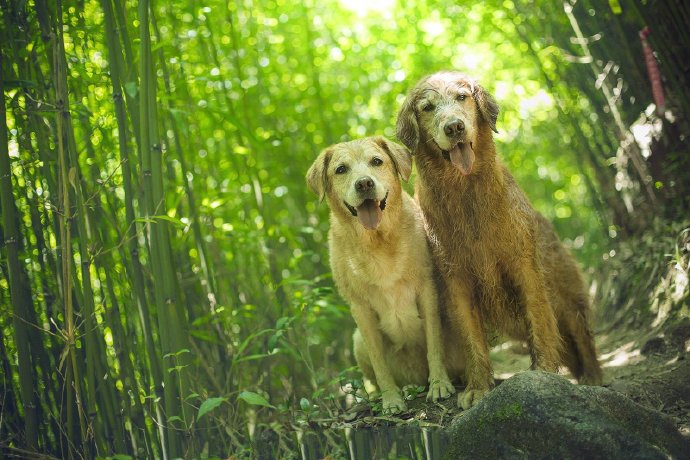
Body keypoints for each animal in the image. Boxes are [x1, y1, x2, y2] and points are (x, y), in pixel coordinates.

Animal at [306, 137, 462, 414]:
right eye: (341, 169)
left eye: (376, 161)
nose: (364, 183)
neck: (377, 241)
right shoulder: (360, 308)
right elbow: (379, 362)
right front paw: (391, 400)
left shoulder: (427, 289)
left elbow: (434, 343)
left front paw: (439, 384)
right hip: (357, 340)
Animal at [396, 70, 600, 408]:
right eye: (427, 107)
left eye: (462, 97)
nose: (454, 127)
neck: (466, 193)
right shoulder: (457, 281)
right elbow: (471, 340)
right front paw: (478, 387)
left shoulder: (525, 270)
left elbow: (540, 325)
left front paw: (544, 372)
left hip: (569, 298)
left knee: (582, 337)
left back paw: (593, 377)